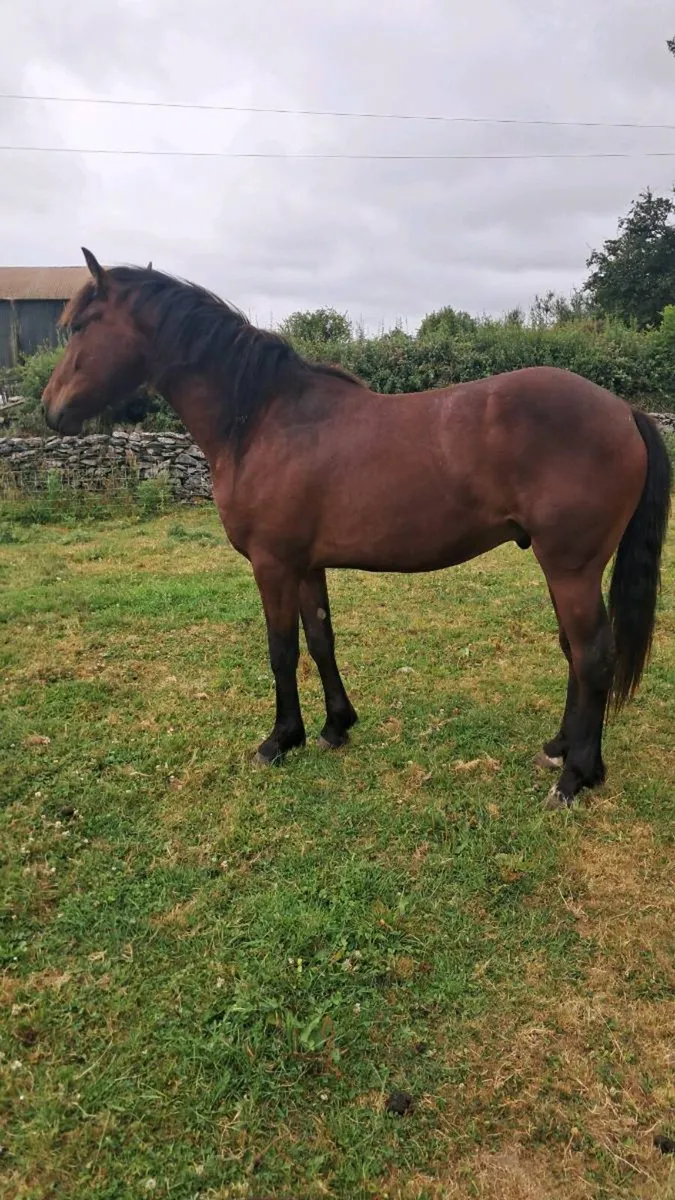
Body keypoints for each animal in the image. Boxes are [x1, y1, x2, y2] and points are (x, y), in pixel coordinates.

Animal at [42, 248, 671, 808]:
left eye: (81, 327)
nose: (50, 409)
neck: (262, 420)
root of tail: (623, 410)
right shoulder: (306, 565)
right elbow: (320, 639)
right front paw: (334, 726)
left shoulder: (272, 564)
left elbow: (281, 650)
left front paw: (279, 740)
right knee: (574, 651)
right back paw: (560, 748)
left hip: (571, 568)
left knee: (593, 655)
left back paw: (576, 777)